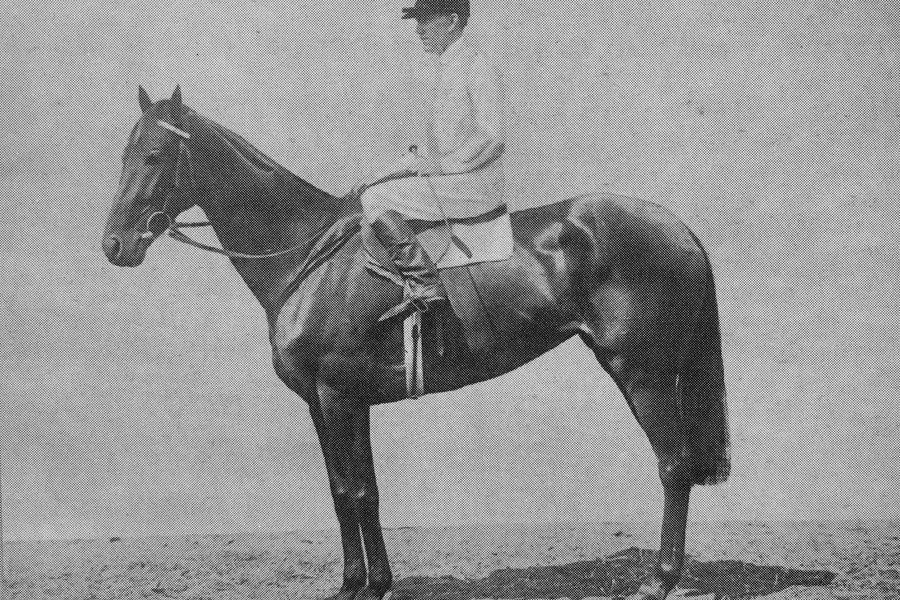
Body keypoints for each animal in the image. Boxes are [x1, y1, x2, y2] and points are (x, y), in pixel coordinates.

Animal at [102, 86, 730, 600]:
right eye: (125, 153)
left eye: (155, 156)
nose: (114, 245)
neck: (309, 257)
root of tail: (677, 226)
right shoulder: (327, 402)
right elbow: (348, 490)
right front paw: (359, 583)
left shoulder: (338, 396)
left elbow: (357, 491)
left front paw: (370, 586)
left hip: (642, 373)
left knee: (674, 465)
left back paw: (660, 579)